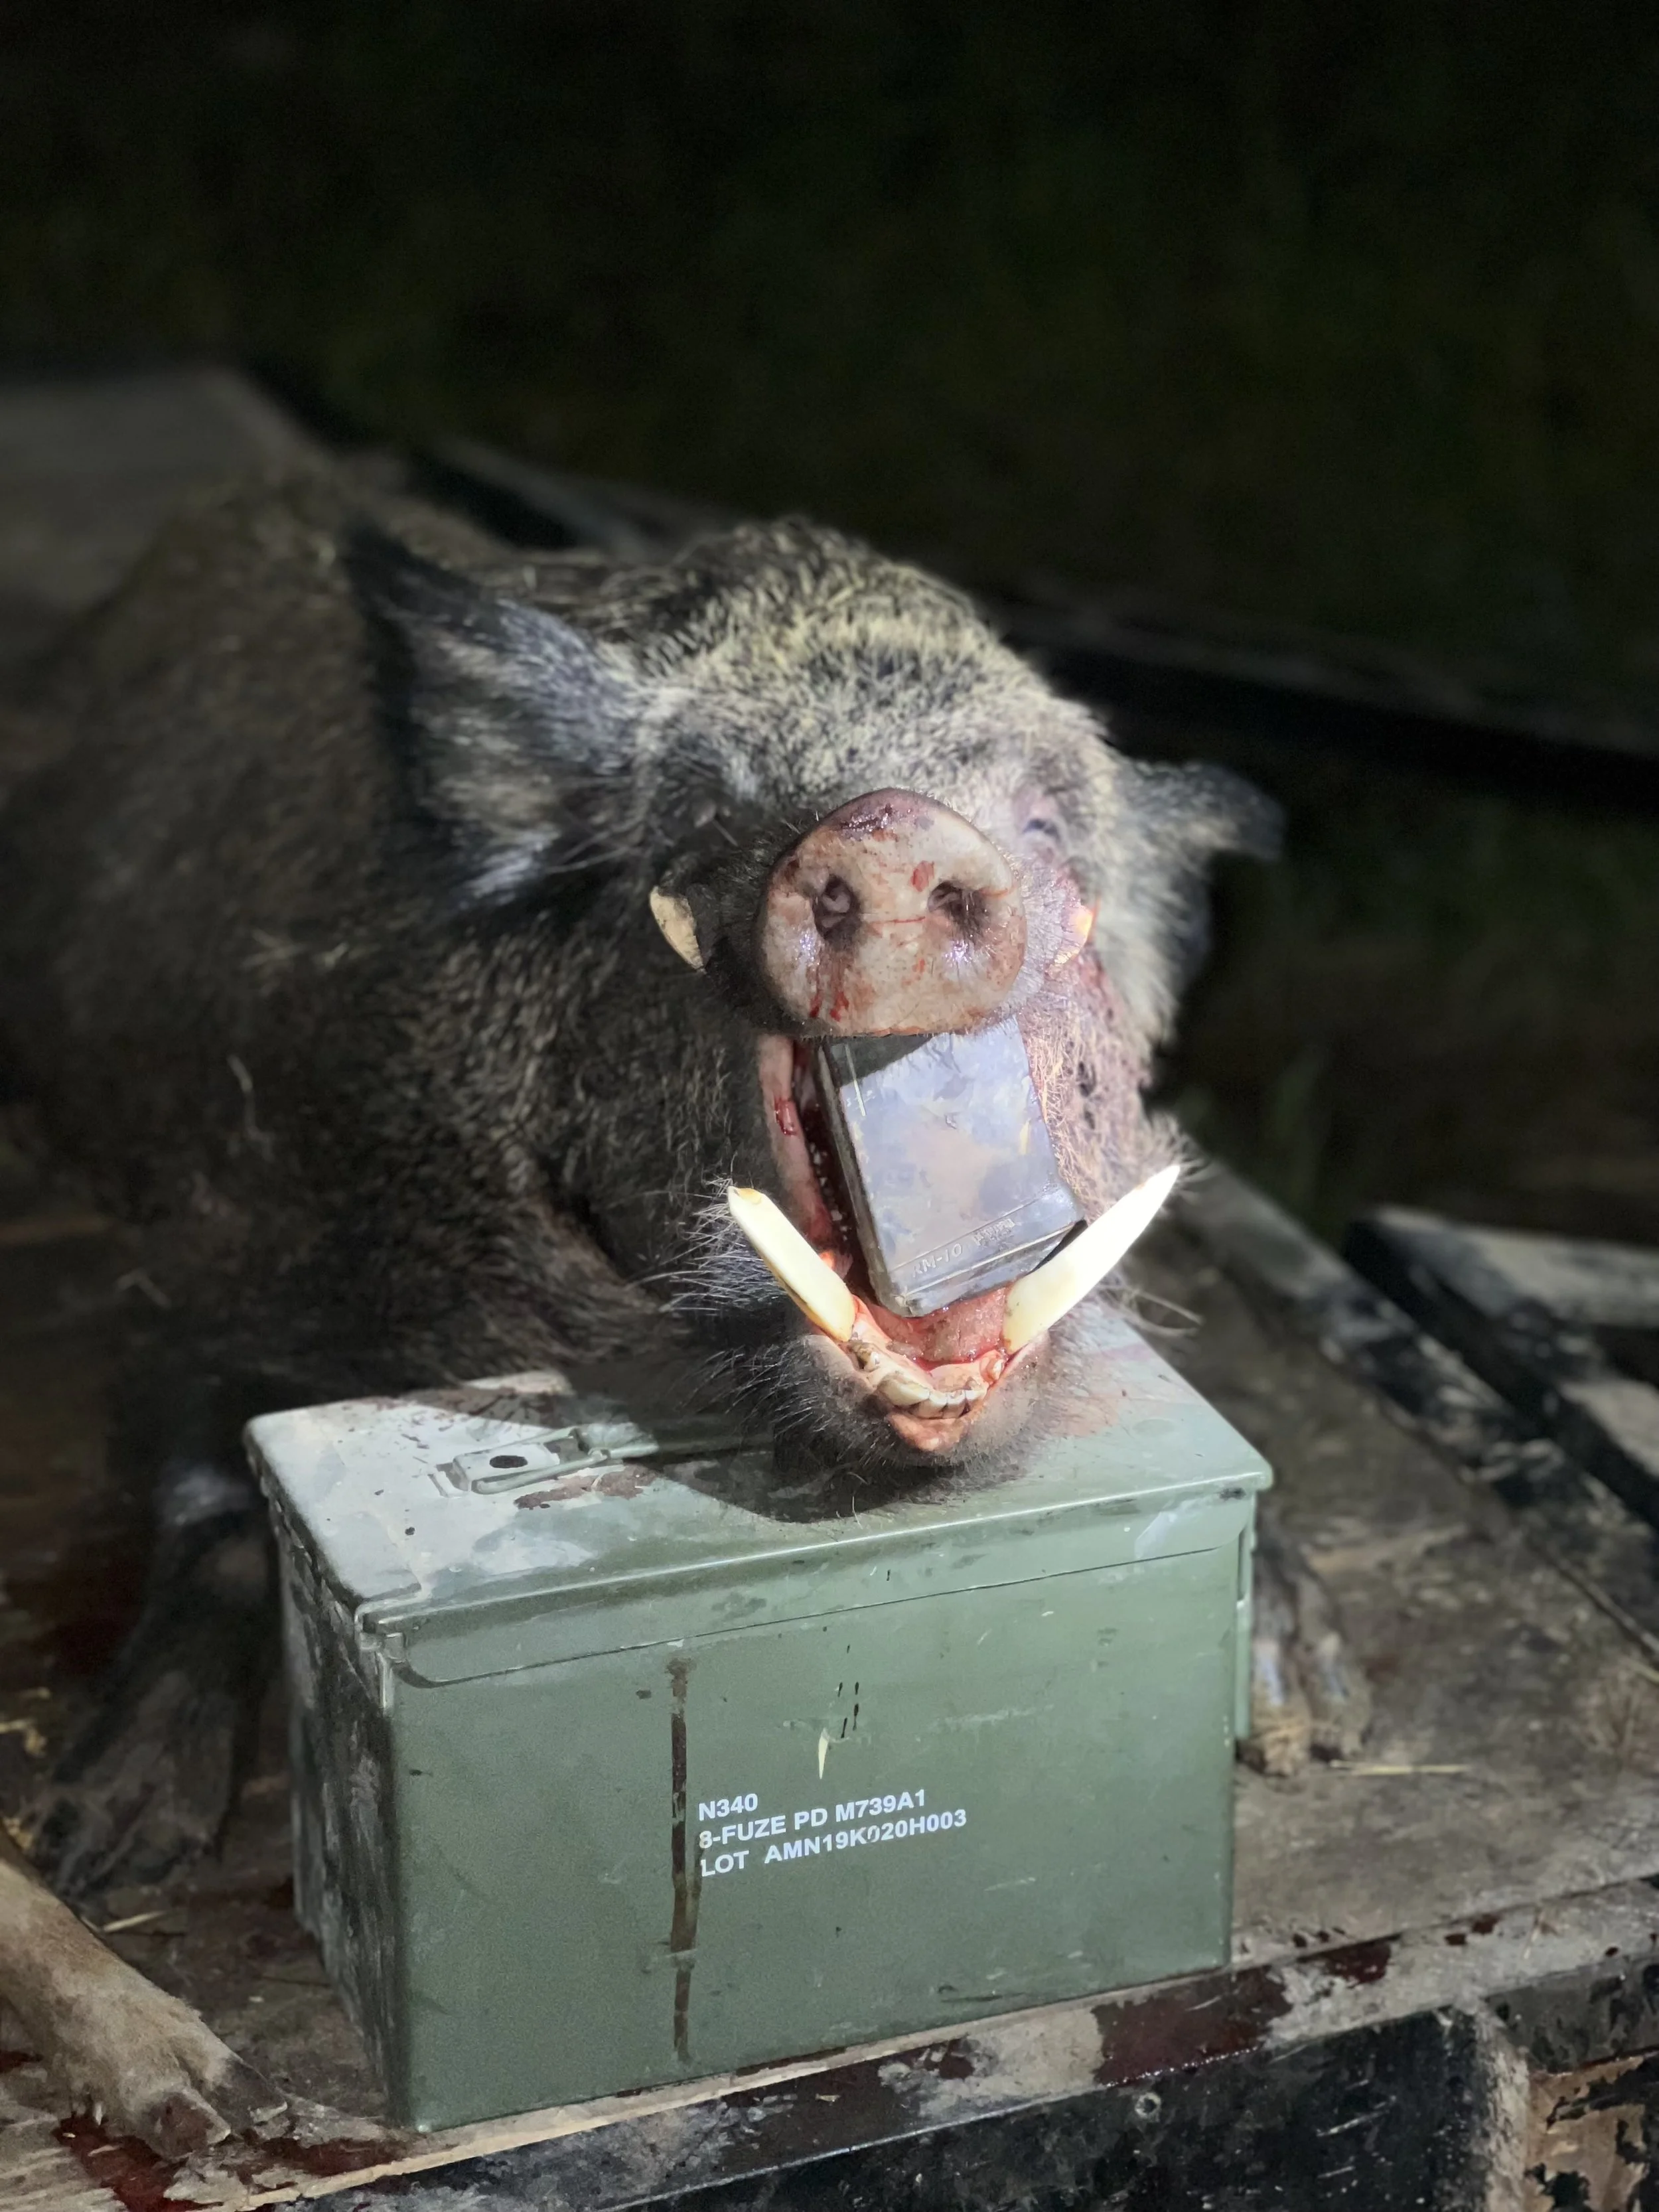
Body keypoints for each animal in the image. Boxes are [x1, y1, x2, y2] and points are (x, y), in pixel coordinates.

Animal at [0, 464, 1275, 2148]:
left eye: (1048, 819)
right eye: (713, 818)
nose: (893, 829)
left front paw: (1305, 1715)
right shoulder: (220, 1246)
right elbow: (209, 1481)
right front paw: (95, 1844)